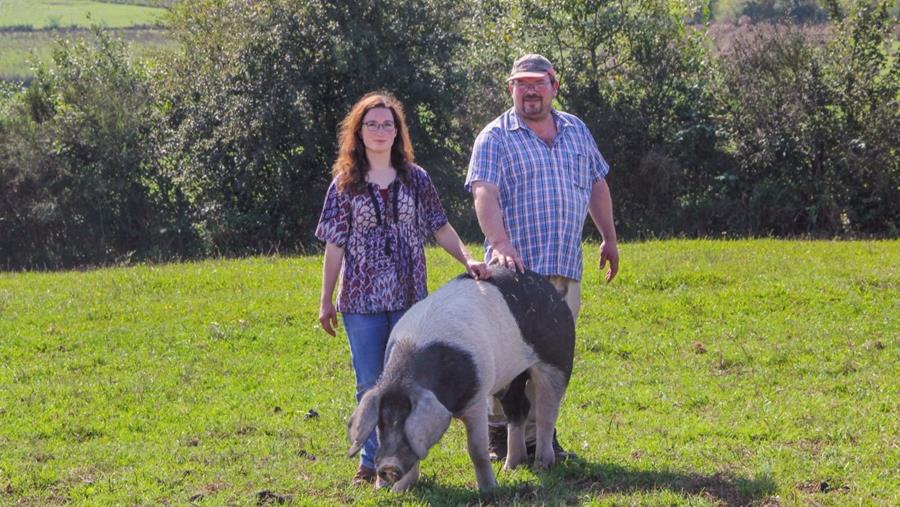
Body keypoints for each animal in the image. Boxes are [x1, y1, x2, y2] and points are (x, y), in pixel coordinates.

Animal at [348, 266, 572, 492]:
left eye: (406, 421)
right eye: (382, 423)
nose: (388, 467)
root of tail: (550, 290)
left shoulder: (478, 396)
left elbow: (477, 449)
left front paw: (489, 490)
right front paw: (399, 491)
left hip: (558, 358)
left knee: (546, 415)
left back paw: (542, 466)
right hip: (512, 377)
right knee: (518, 410)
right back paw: (510, 467)